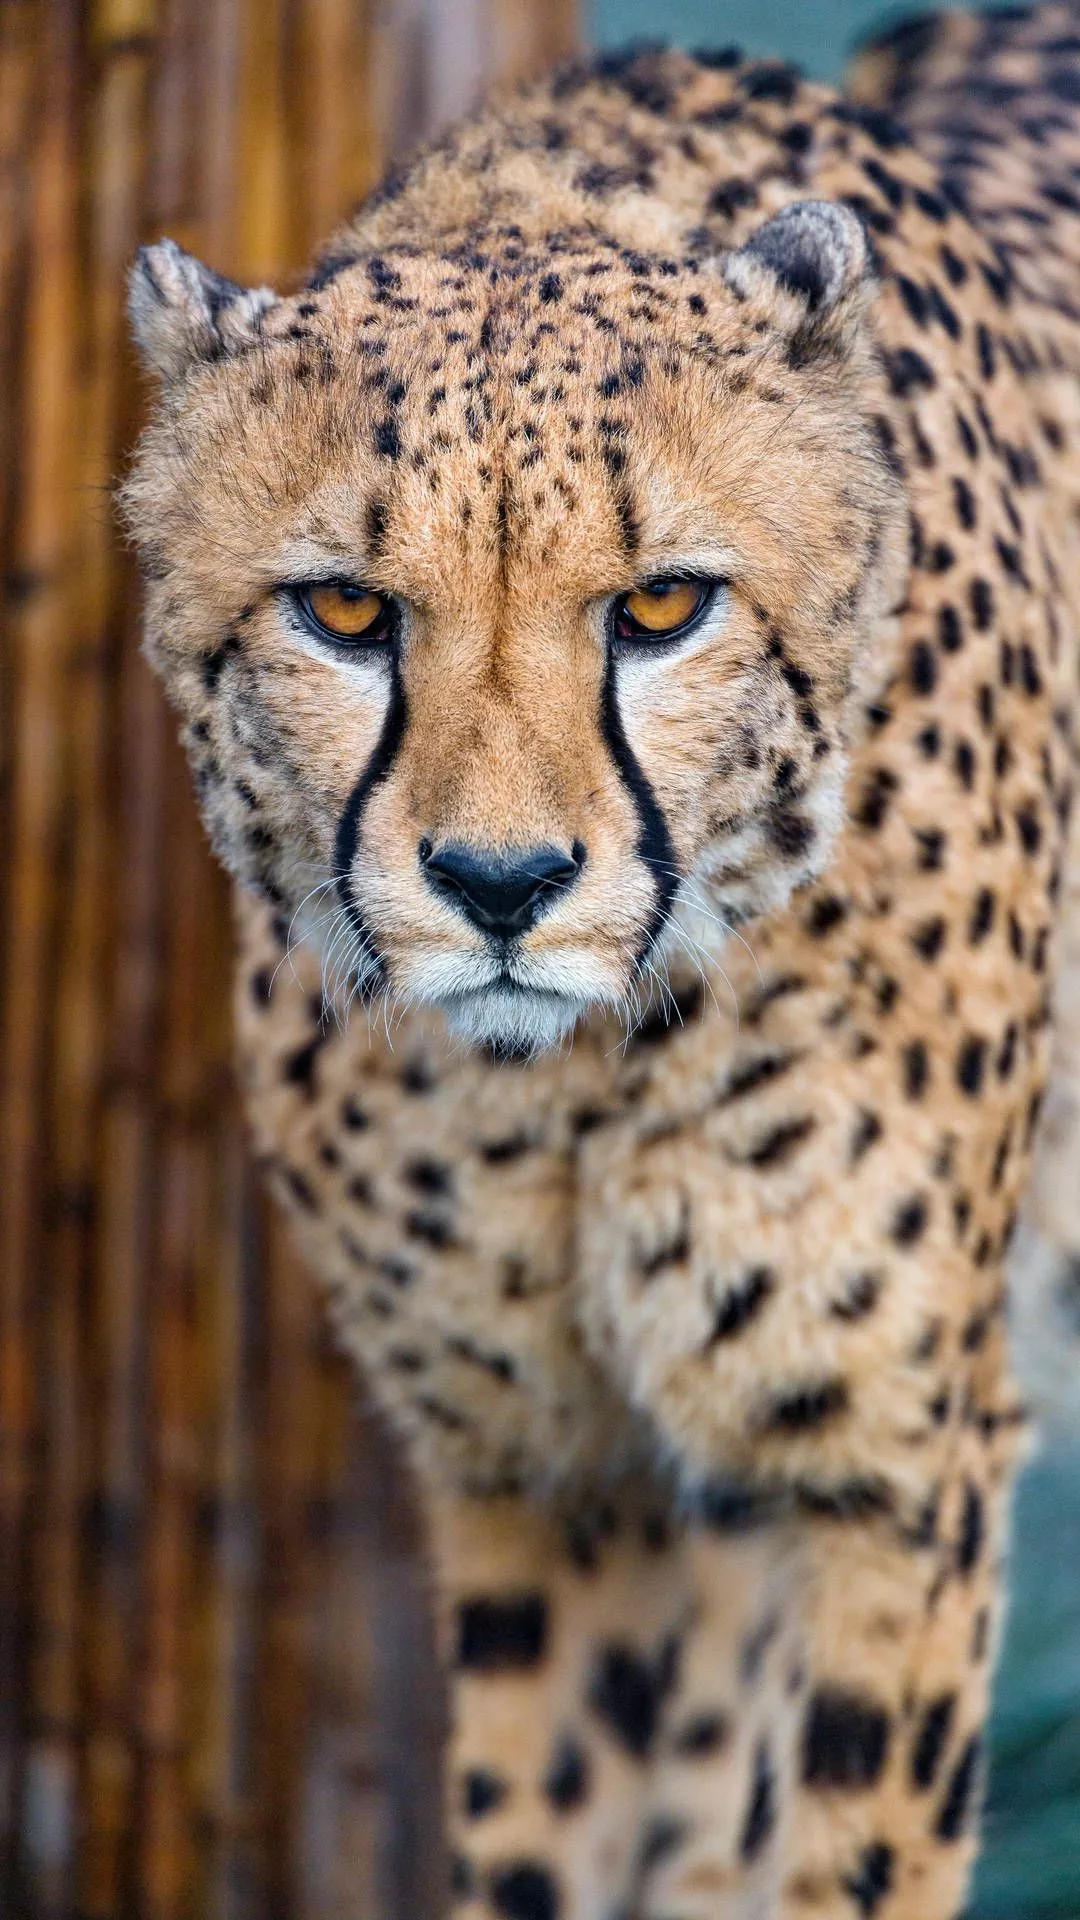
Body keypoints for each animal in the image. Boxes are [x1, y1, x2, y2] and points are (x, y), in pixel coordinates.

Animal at [121, 6, 1080, 1916]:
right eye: (347, 612)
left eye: (661, 607)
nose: (502, 885)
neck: (582, 1078)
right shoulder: (552, 1481)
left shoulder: (893, 1477)